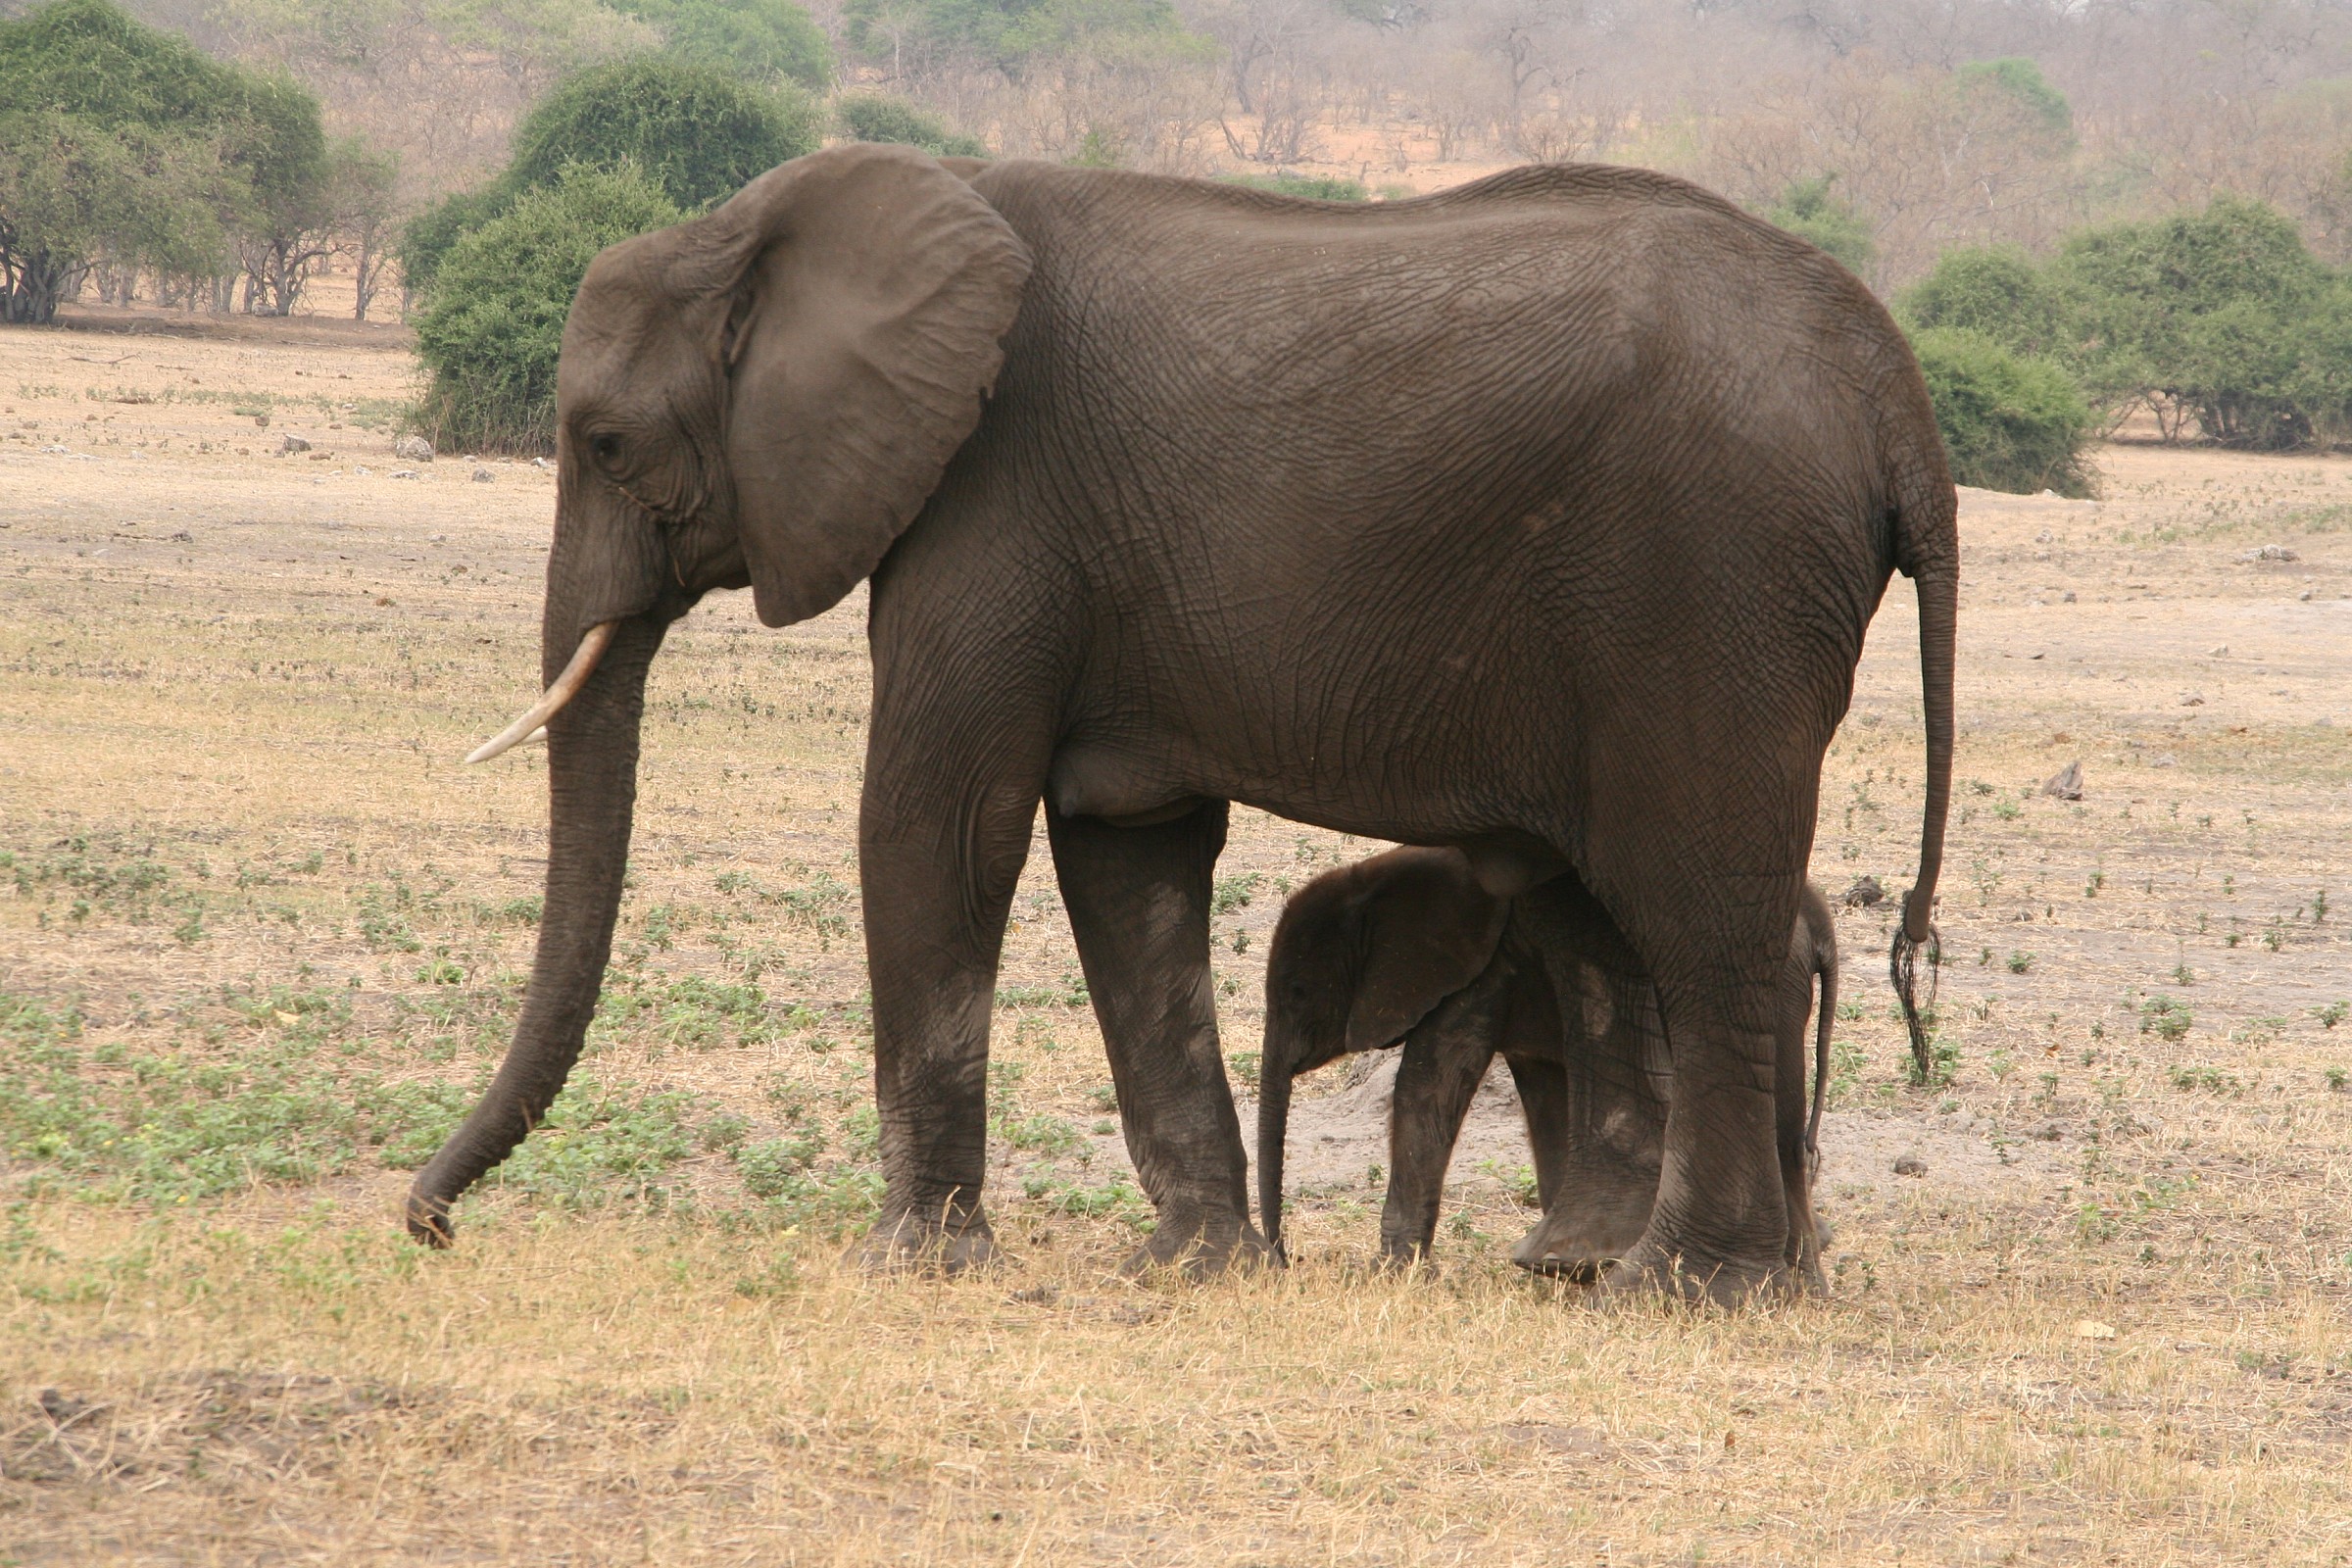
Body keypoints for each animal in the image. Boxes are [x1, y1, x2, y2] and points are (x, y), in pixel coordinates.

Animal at [1254, 846, 1839, 1282]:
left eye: (1298, 992)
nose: (1288, 1260)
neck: (1378, 878)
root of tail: (1819, 921)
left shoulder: (1481, 970)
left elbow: (1432, 1080)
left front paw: (1393, 1276)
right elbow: (1545, 1094)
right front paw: (1571, 1265)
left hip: (1772, 989)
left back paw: (1798, 1280)